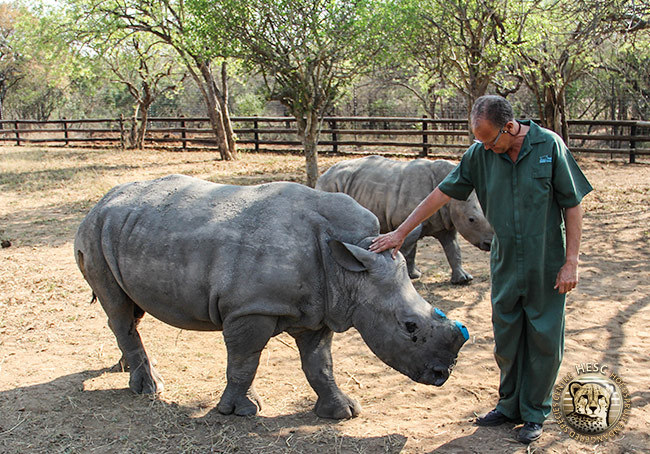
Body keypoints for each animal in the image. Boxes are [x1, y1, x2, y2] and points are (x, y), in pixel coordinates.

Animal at [74, 173, 466, 418]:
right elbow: (245, 361)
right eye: (410, 327)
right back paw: (149, 389)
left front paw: (343, 412)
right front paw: (240, 412)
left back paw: (126, 369)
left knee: (128, 311)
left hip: (122, 230)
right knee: (119, 311)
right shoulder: (250, 309)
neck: (350, 268)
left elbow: (319, 364)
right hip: (93, 233)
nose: (443, 374)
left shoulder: (320, 309)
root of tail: (99, 202)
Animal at [316, 156, 492, 284]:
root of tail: (324, 173)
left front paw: (463, 280)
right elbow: (411, 249)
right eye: (471, 220)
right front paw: (412, 276)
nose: (489, 244)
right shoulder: (406, 220)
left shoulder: (446, 223)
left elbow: (453, 249)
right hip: (330, 184)